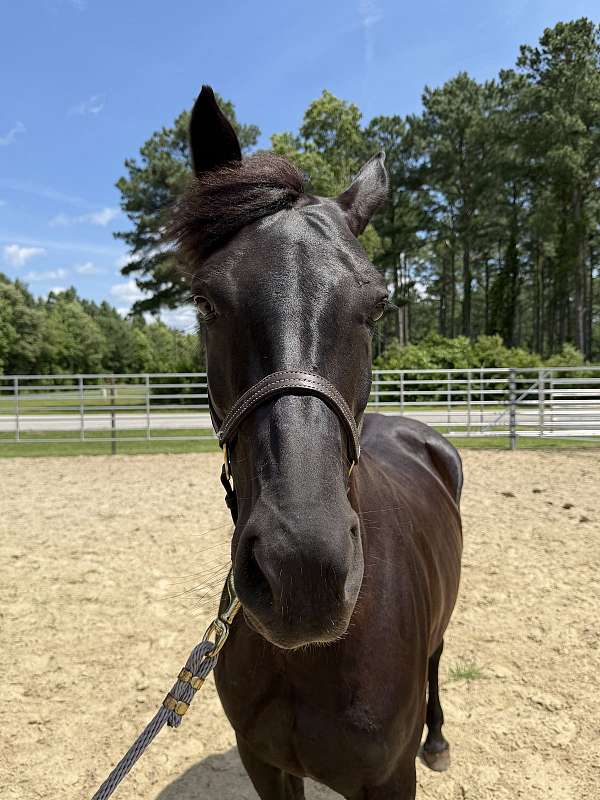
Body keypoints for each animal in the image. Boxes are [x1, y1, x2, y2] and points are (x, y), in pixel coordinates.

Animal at [171, 85, 463, 800]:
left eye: (379, 304)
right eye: (206, 301)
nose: (303, 572)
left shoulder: (387, 780)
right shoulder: (263, 761)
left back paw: (439, 741)